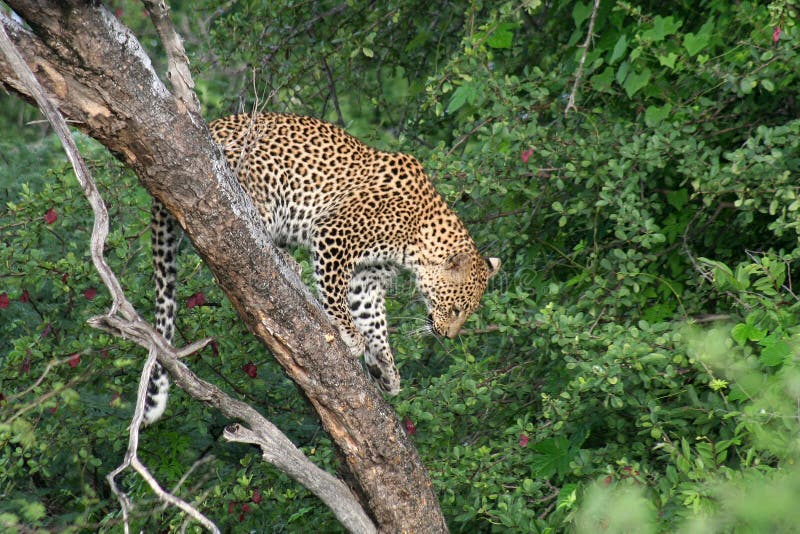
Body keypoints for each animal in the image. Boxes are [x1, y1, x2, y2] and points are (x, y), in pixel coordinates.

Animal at [141, 114, 496, 428]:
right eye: (455, 309)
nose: (448, 336)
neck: (418, 237)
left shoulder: (367, 279)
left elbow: (374, 319)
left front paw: (386, 368)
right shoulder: (335, 234)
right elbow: (334, 292)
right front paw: (350, 334)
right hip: (262, 175)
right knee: (242, 223)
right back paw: (285, 256)